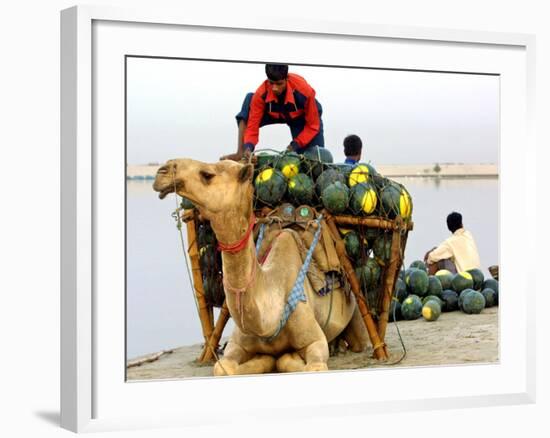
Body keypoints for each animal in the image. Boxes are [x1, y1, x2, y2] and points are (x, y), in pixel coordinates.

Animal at [153, 159, 370, 374]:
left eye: (207, 174)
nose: (162, 171)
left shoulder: (315, 341)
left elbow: (302, 363)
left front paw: (284, 357)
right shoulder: (237, 344)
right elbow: (223, 368)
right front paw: (263, 360)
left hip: (355, 309)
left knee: (361, 341)